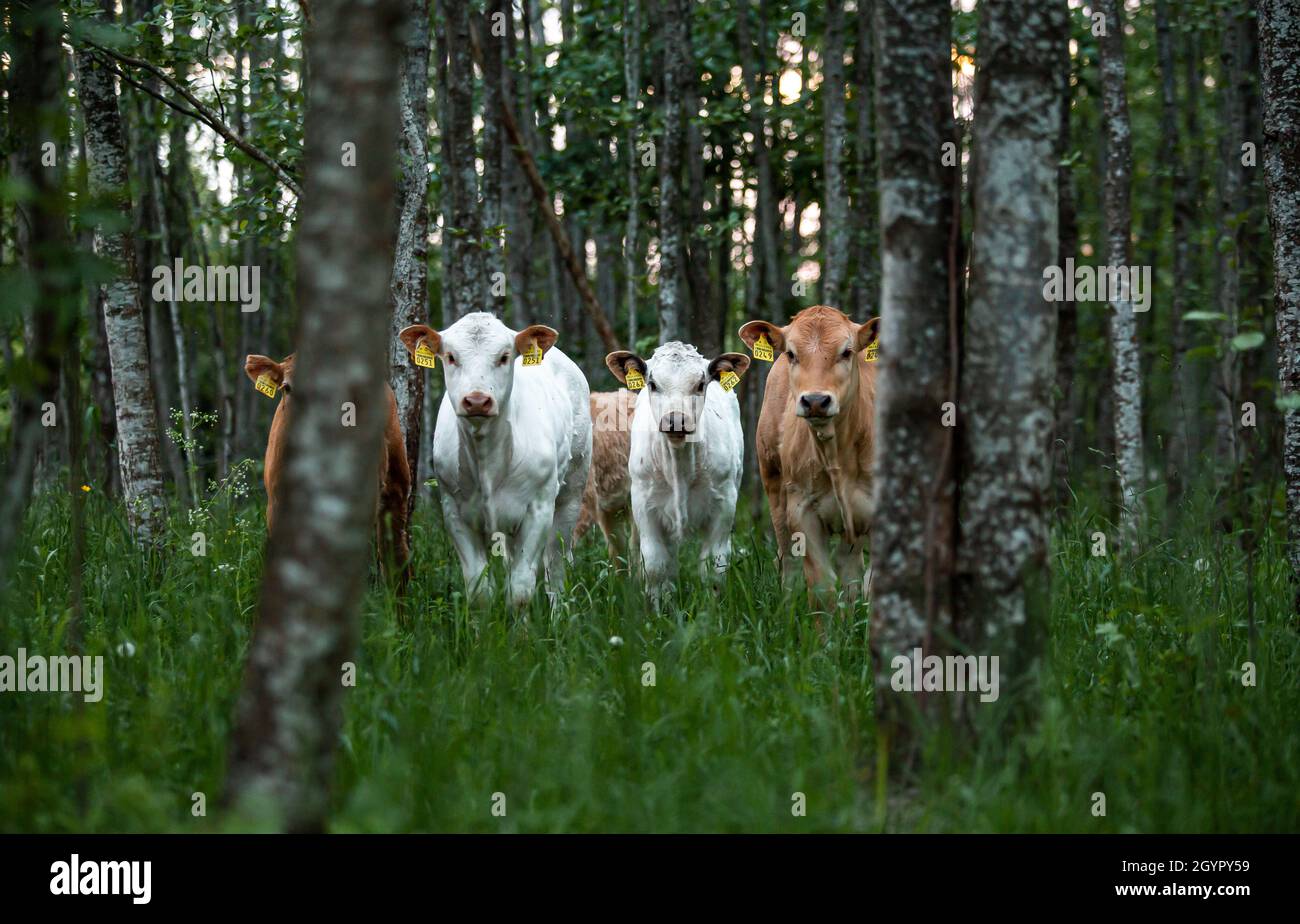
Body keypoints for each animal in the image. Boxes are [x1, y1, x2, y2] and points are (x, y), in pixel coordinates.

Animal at [397, 312, 592, 608]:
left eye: (504, 356)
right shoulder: (454, 513)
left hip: (571, 492)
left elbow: (520, 590)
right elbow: (480, 592)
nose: (477, 401)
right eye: (451, 356)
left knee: (557, 563)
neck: (487, 459)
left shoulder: (538, 510)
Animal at [604, 342, 750, 603]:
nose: (675, 420)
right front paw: (659, 608)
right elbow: (655, 566)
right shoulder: (645, 507)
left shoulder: (724, 505)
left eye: (700, 384)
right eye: (652, 384)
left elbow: (713, 568)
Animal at [737, 306, 880, 607]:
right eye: (792, 353)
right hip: (774, 484)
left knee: (850, 569)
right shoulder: (803, 510)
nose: (815, 401)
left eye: (847, 351)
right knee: (787, 561)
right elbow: (822, 586)